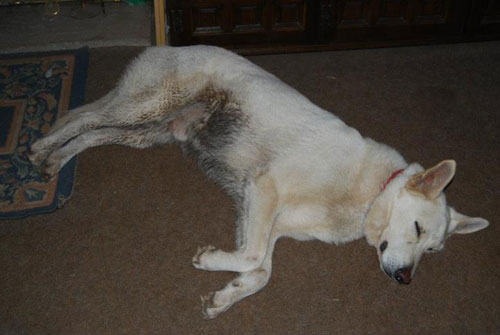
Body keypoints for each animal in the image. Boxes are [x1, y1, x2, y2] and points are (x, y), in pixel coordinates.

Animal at [28, 45, 488, 320]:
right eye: (417, 229)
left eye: (432, 250)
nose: (406, 279)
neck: (369, 193)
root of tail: (169, 45)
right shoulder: (262, 189)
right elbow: (251, 258)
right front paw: (208, 262)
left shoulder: (262, 217)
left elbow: (261, 269)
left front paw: (225, 295)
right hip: (146, 108)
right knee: (83, 118)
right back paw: (40, 147)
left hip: (147, 133)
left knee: (92, 134)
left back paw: (55, 161)